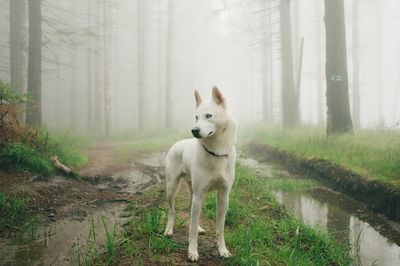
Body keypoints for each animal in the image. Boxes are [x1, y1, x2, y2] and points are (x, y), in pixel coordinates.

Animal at [163, 86, 236, 260]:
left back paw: (199, 228)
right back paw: (169, 230)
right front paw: (192, 252)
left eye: (208, 116)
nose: (194, 130)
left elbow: (220, 228)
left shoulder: (224, 196)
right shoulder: (199, 193)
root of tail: (177, 143)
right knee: (173, 211)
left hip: (194, 193)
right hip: (173, 189)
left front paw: (222, 250)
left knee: (191, 211)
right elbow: (191, 232)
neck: (216, 153)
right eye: (195, 117)